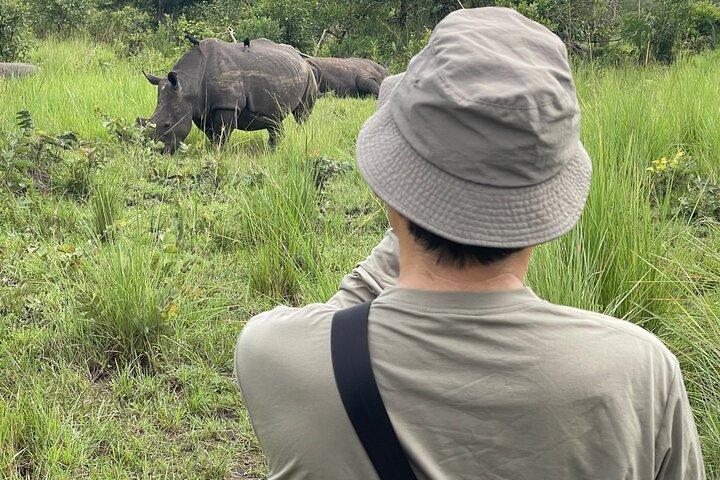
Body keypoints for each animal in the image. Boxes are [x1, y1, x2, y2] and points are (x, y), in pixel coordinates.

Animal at [140, 36, 317, 153]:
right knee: (274, 119)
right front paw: (212, 150)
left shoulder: (227, 106)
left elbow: (222, 133)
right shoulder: (200, 107)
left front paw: (219, 153)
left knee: (301, 115)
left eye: (167, 125)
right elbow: (211, 133)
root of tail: (301, 58)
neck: (189, 83)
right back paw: (272, 151)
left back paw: (297, 136)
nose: (157, 151)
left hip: (310, 75)